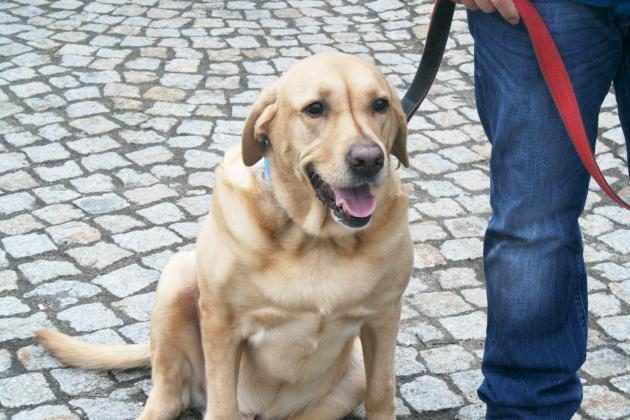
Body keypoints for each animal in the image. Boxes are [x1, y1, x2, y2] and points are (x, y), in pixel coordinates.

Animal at [38, 52, 414, 420]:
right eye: (315, 108)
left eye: (380, 104)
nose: (369, 159)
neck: (314, 239)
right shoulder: (222, 324)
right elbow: (222, 403)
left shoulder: (383, 319)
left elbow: (382, 393)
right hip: (178, 276)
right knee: (168, 394)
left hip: (350, 376)